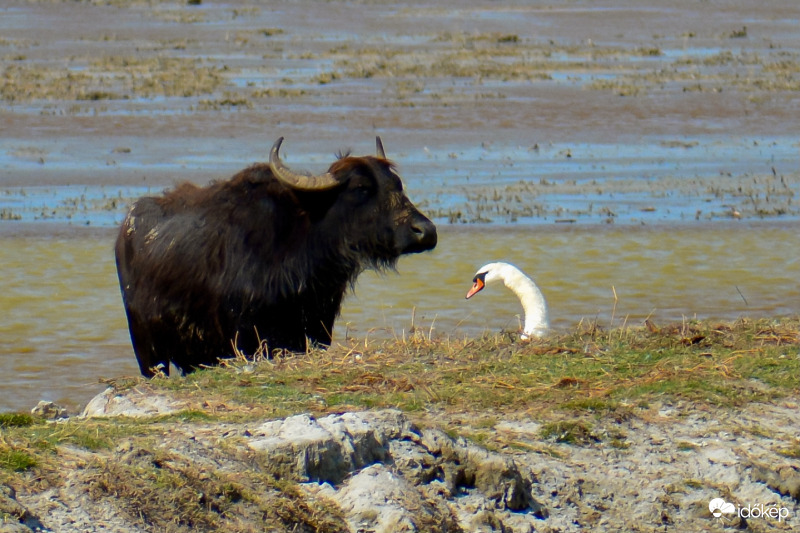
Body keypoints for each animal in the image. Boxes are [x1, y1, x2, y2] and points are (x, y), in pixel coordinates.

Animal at [115, 139, 434, 376]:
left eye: (397, 184)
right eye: (361, 188)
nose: (426, 232)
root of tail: (126, 231)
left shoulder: (315, 330)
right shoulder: (251, 339)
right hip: (148, 351)